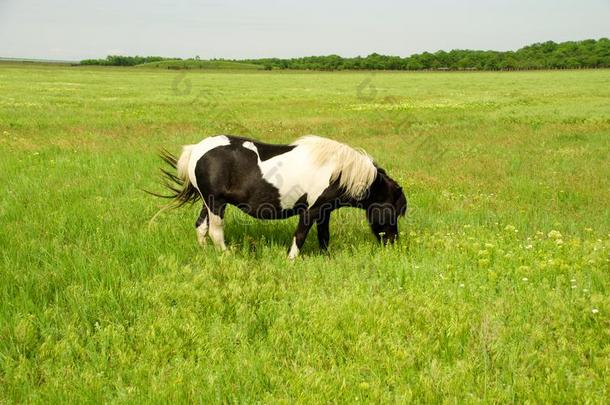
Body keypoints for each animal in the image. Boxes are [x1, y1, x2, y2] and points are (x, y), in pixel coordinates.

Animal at [151, 134, 406, 258]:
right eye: (393, 211)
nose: (393, 243)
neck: (337, 170)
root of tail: (197, 149)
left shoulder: (325, 211)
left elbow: (324, 237)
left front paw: (327, 259)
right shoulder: (311, 210)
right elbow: (300, 236)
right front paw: (291, 260)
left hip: (208, 202)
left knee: (201, 228)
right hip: (216, 203)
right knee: (215, 231)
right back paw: (227, 255)